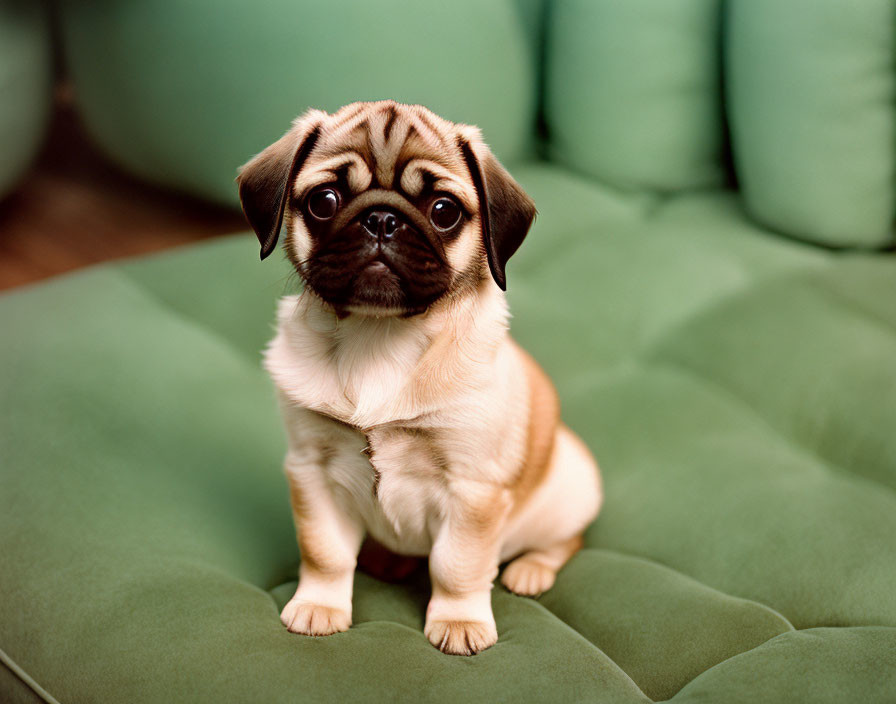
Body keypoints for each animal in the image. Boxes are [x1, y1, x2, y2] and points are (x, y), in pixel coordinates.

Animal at [238, 100, 600, 656]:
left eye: (444, 211)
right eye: (324, 201)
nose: (381, 219)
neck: (379, 336)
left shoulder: (472, 490)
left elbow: (457, 565)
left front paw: (459, 620)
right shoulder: (312, 471)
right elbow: (324, 552)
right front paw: (321, 605)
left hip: (569, 488)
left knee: (565, 540)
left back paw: (531, 570)